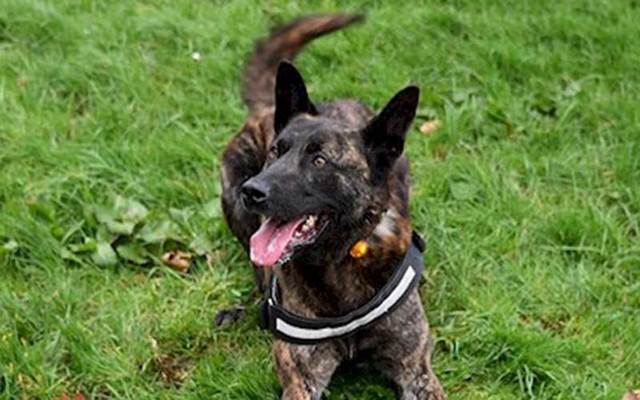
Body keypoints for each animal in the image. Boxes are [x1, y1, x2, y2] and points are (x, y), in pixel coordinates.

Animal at [220, 13, 444, 400]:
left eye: (320, 161)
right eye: (276, 151)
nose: (254, 191)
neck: (338, 262)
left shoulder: (416, 370)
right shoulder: (301, 378)